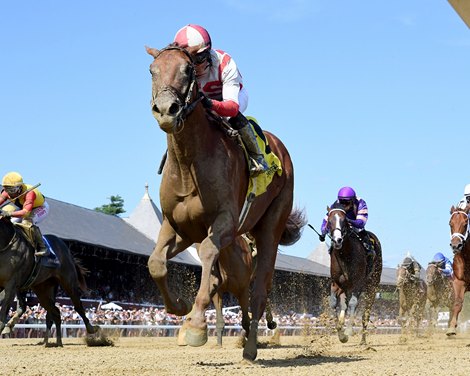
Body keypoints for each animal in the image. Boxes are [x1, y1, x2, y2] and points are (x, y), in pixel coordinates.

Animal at [0, 216, 99, 346]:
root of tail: (66, 250)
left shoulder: (11, 284)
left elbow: (4, 308)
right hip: (42, 289)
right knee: (54, 312)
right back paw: (53, 342)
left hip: (68, 282)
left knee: (77, 306)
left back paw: (91, 328)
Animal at [148, 45, 308, 360]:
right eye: (152, 70)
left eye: (187, 69)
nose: (166, 110)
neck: (188, 164)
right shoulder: (178, 227)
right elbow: (156, 263)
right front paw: (180, 306)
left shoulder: (225, 222)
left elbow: (209, 253)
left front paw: (197, 325)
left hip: (271, 225)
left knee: (259, 291)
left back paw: (251, 346)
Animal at [324, 203, 384, 344]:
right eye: (329, 221)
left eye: (344, 221)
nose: (337, 240)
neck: (345, 254)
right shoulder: (336, 283)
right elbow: (334, 303)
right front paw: (341, 333)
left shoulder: (357, 284)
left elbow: (352, 304)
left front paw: (348, 331)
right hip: (347, 288)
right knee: (345, 305)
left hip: (371, 285)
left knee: (365, 314)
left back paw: (363, 340)